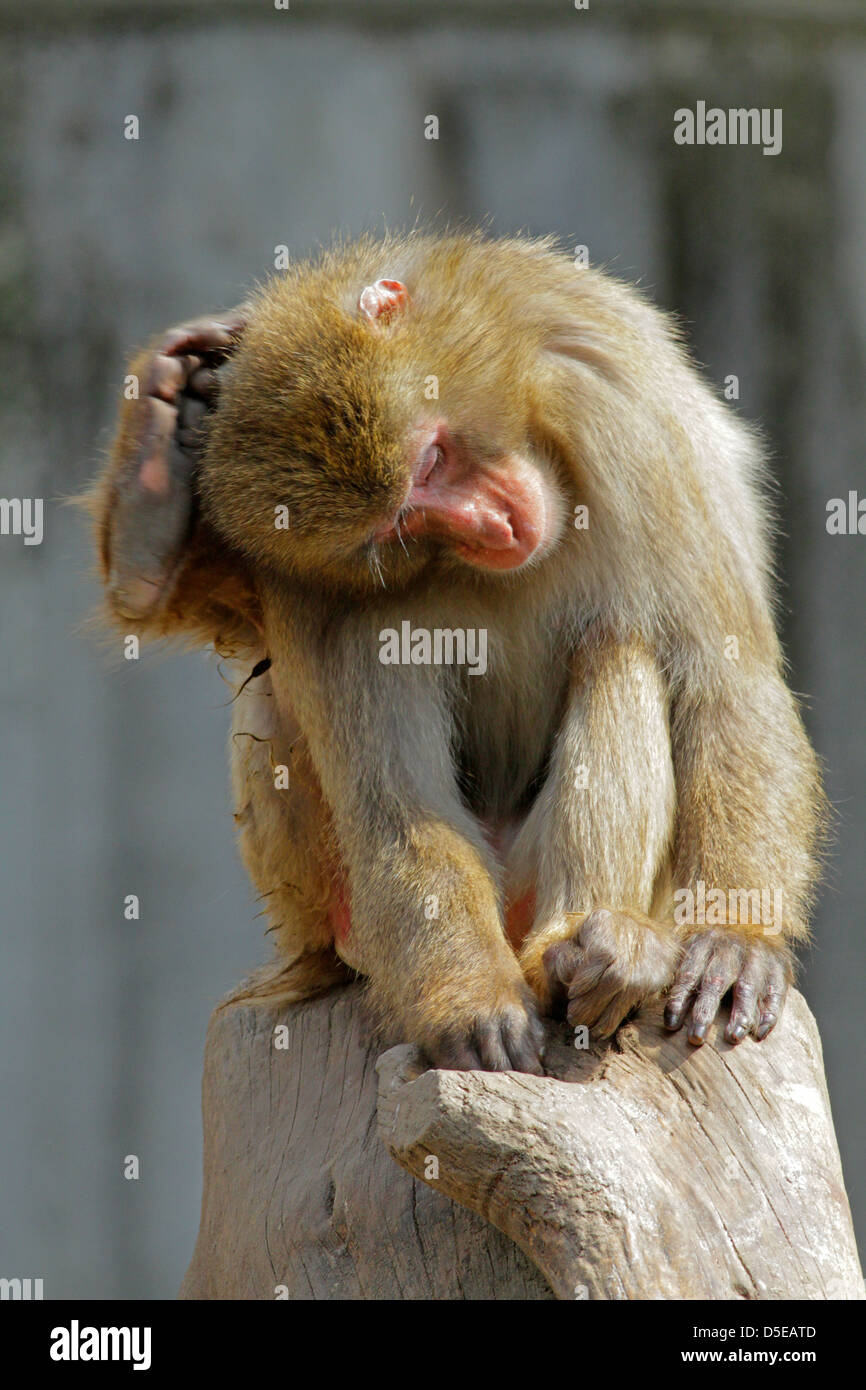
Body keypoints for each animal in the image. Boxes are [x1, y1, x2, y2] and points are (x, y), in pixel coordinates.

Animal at [88, 233, 828, 1067]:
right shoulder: (315, 583)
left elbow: (726, 679)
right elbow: (394, 801)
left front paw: (737, 938)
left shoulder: (625, 411)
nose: (494, 529)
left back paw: (585, 952)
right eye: (400, 523)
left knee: (621, 646)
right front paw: (470, 1004)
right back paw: (149, 518)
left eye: (432, 459)